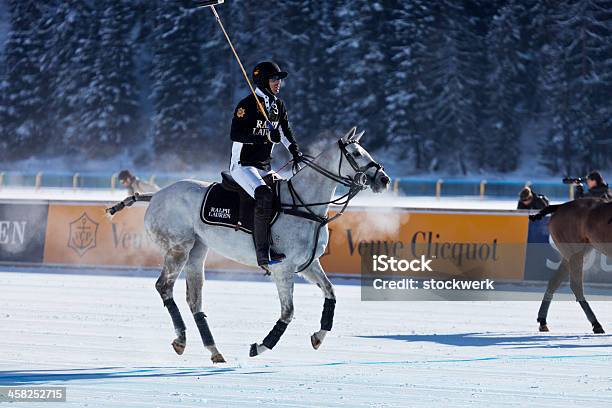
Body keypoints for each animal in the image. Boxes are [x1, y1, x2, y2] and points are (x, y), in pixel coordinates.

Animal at [109, 126, 388, 362]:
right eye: (355, 153)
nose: (383, 179)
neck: (303, 205)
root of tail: (156, 194)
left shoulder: (308, 264)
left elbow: (330, 292)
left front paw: (318, 337)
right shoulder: (282, 268)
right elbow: (288, 312)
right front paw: (260, 346)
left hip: (198, 250)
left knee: (194, 299)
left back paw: (214, 350)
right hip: (178, 248)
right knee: (164, 286)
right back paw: (181, 339)